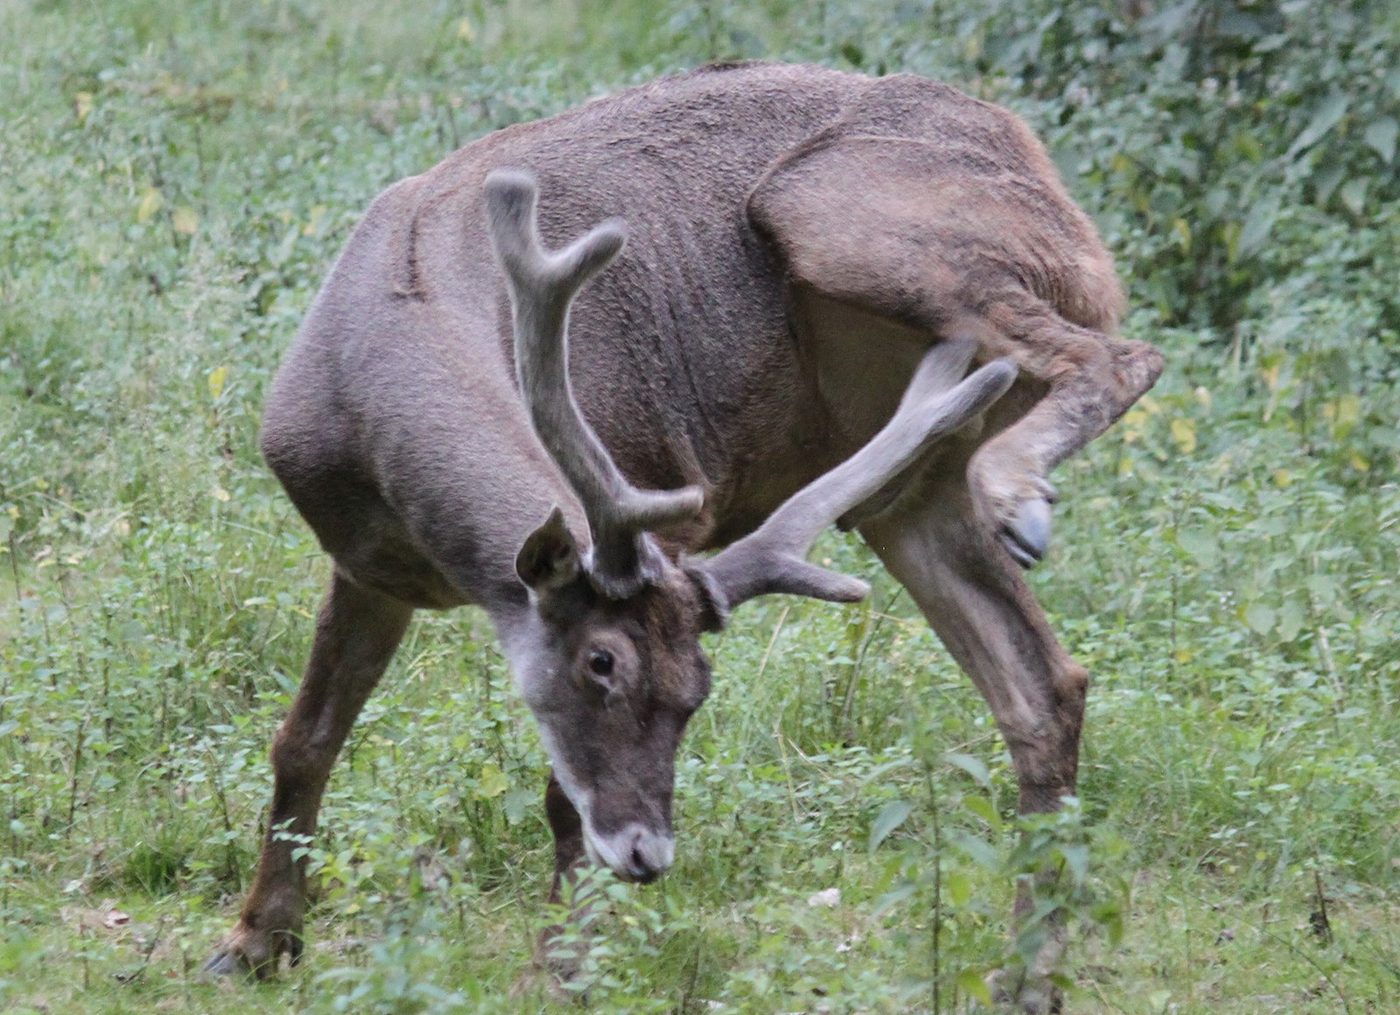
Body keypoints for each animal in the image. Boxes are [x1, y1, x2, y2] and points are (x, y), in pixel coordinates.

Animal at [203, 62, 1163, 1011]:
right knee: (1046, 684)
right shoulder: (363, 562)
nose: (649, 854)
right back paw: (1027, 978)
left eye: (697, 689)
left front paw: (564, 966)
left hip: (832, 209)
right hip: (906, 486)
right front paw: (256, 942)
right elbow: (305, 737)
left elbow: (558, 798)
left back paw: (1019, 486)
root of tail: (1043, 175)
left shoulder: (663, 488)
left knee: (1125, 354)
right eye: (603, 662)